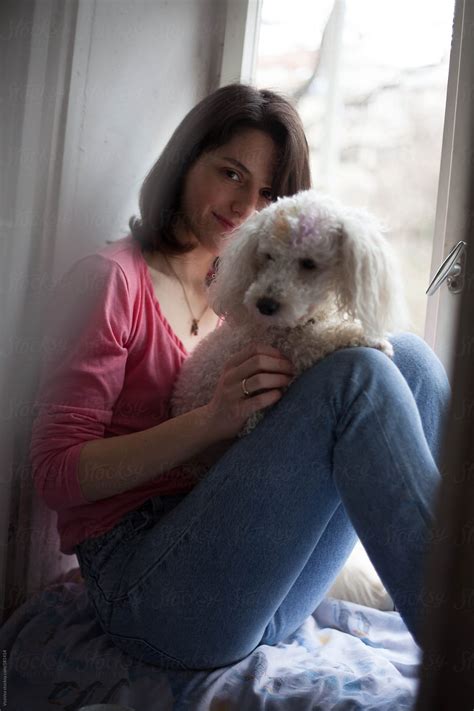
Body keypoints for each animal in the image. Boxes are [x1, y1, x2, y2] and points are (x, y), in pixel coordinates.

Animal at [170, 186, 408, 482]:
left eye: (308, 263)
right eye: (268, 257)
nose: (264, 305)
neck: (295, 324)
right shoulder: (288, 351)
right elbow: (318, 340)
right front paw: (369, 337)